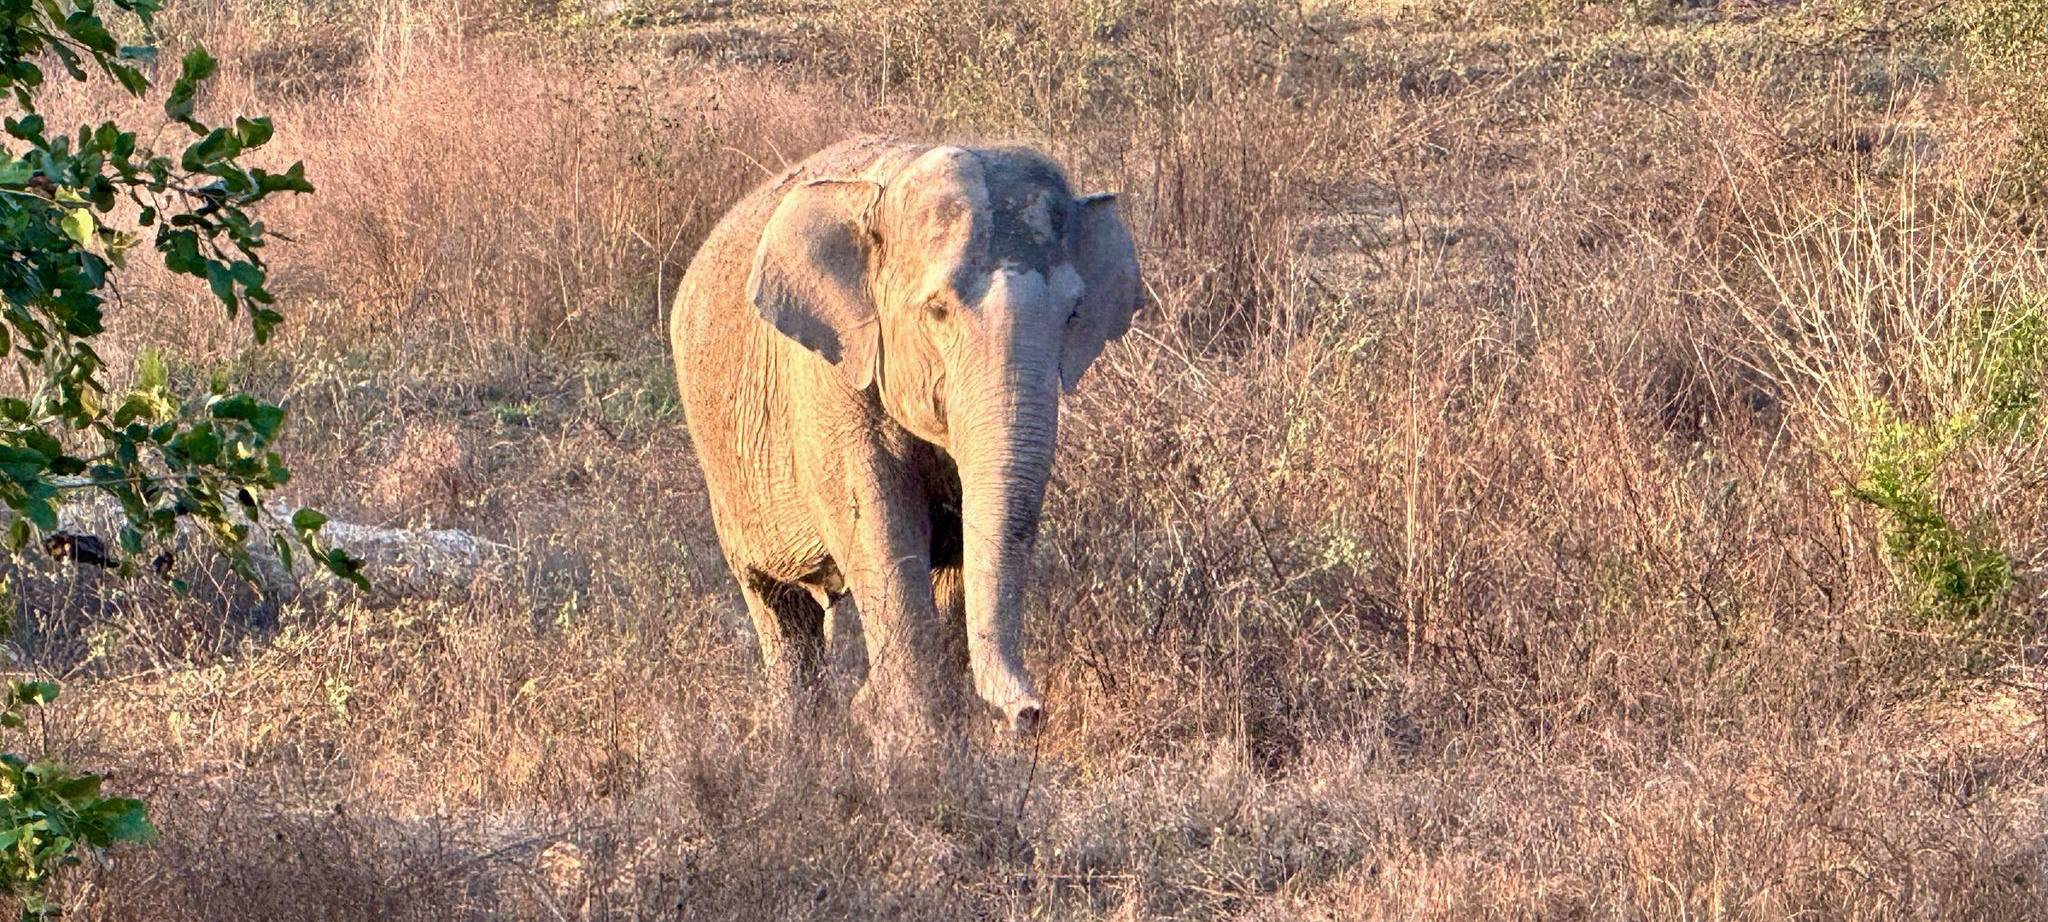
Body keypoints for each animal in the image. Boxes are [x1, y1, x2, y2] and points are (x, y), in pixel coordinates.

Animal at [670, 137, 1141, 735]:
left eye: (1072, 313)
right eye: (937, 311)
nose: (1029, 714)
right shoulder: (828, 381)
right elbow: (879, 523)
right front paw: (906, 735)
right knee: (777, 607)